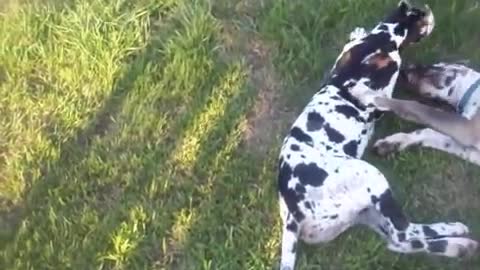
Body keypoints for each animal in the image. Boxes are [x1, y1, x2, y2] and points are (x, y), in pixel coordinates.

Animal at [278, 1, 476, 268]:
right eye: (419, 15)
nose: (429, 10)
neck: (381, 38)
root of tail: (292, 216)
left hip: (367, 212)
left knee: (401, 240)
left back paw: (457, 241)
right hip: (373, 179)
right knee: (402, 233)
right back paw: (457, 239)